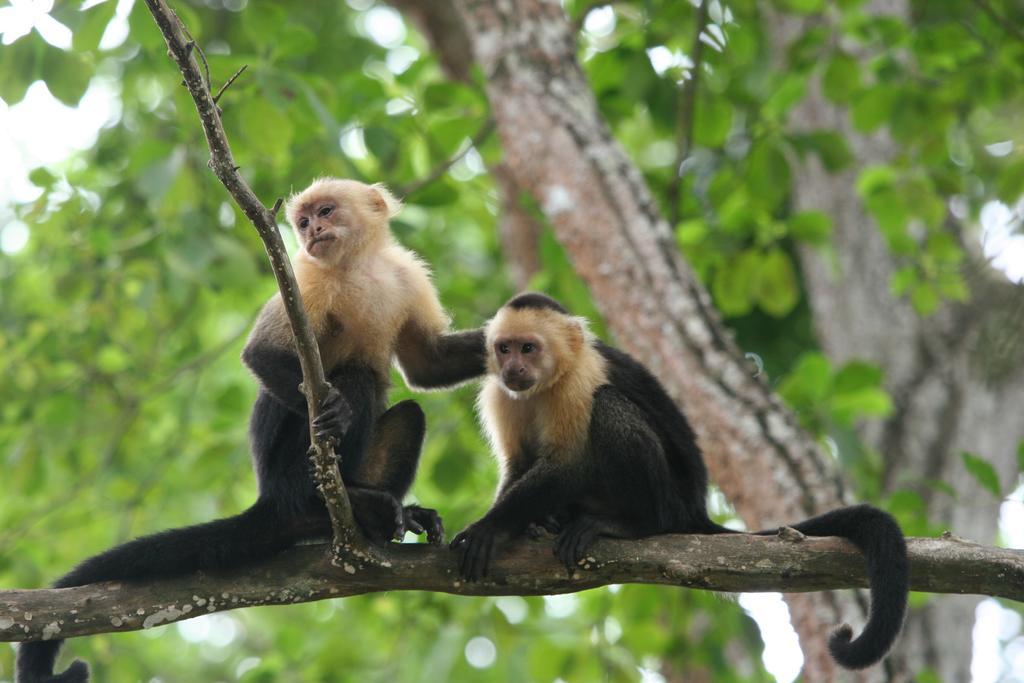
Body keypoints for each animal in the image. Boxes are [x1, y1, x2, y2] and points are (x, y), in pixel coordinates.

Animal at [18, 179, 485, 679]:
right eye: (303, 221)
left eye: (325, 212)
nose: (312, 230)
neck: (356, 266)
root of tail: (272, 496)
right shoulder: (305, 278)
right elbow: (261, 354)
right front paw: (336, 412)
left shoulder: (406, 275)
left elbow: (429, 365)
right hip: (288, 469)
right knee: (355, 380)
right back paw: (332, 499)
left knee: (411, 412)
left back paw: (381, 514)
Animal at [452, 290, 909, 671]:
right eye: (504, 348)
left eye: (529, 348)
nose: (513, 367)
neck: (549, 382)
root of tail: (694, 509)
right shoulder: (499, 392)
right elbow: (518, 464)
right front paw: (513, 524)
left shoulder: (580, 379)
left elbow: (569, 466)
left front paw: (489, 528)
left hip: (668, 499)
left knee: (609, 406)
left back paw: (629, 525)